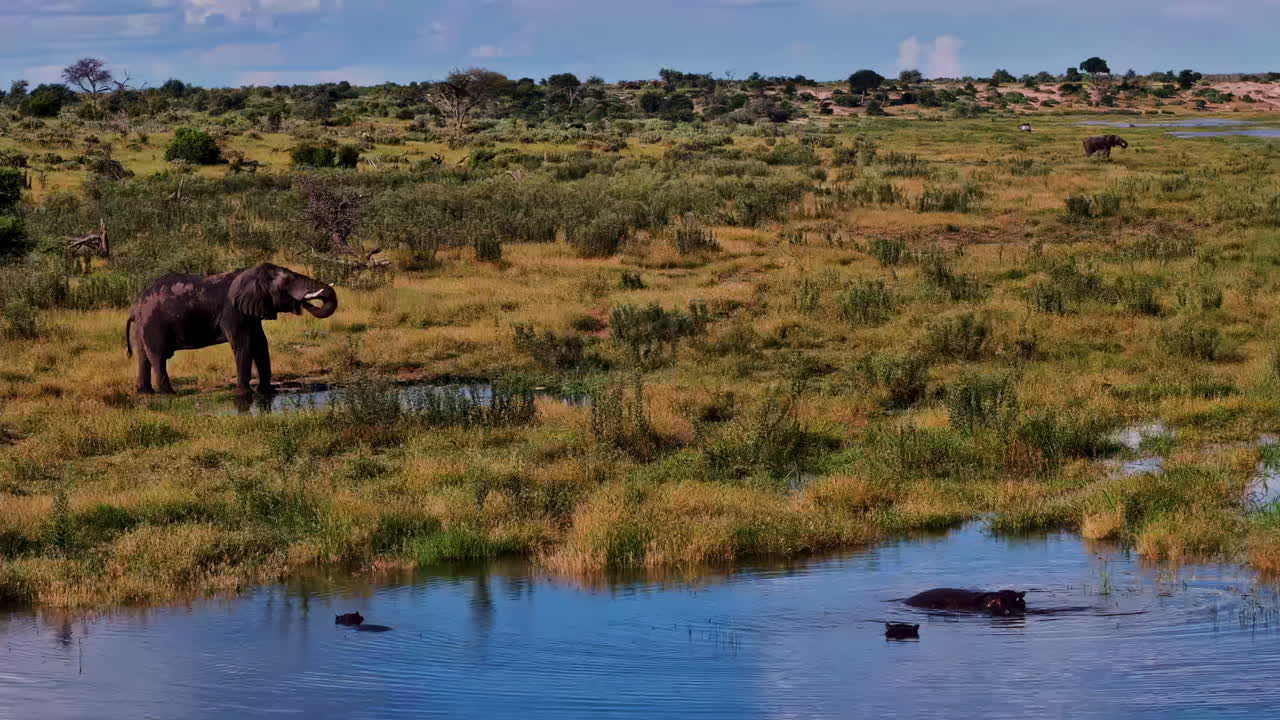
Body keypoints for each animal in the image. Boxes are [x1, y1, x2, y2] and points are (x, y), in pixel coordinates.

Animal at [125, 263, 338, 396]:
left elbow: (260, 344)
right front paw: (244, 394)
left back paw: (146, 393)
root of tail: (135, 307)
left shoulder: (251, 311)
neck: (250, 274)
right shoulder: (233, 312)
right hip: (153, 325)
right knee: (158, 357)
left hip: (142, 327)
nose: (303, 301)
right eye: (287, 283)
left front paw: (266, 392)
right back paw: (169, 394)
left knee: (143, 357)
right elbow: (243, 345)